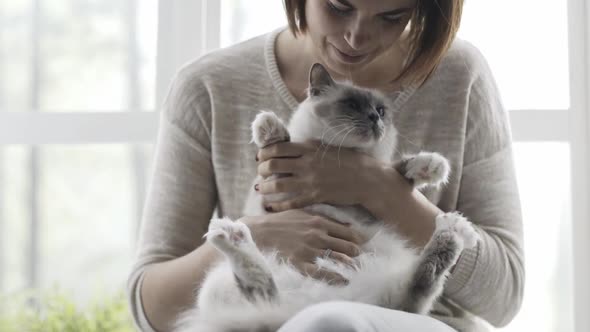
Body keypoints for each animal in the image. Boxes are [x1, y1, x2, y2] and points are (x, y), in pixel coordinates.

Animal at [175, 63, 480, 332]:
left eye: (381, 110)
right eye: (352, 105)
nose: (375, 118)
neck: (339, 153)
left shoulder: (374, 200)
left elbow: (398, 170)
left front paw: (433, 166)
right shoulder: (276, 195)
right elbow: (278, 141)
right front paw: (268, 126)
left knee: (417, 288)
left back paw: (455, 228)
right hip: (214, 285)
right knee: (263, 290)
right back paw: (232, 235)